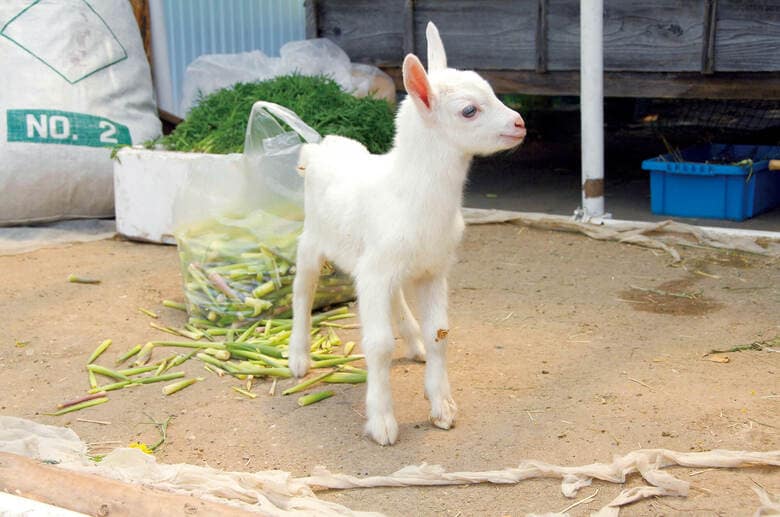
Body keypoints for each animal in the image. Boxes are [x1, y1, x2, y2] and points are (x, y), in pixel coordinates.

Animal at [290, 22, 528, 446]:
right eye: (469, 110)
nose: (520, 124)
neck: (406, 193)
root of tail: (319, 146)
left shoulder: (432, 269)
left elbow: (440, 334)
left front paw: (442, 407)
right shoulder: (374, 272)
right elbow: (379, 345)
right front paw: (382, 421)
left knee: (396, 299)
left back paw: (413, 342)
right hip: (312, 240)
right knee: (302, 292)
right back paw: (299, 358)